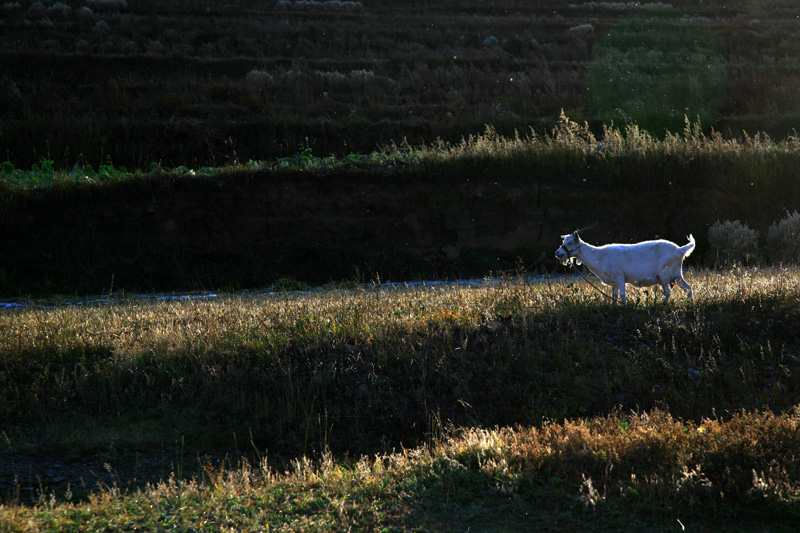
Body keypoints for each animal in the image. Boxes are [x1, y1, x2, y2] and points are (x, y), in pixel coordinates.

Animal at [556, 230, 692, 304]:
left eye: (570, 242)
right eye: (563, 242)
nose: (557, 253)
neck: (599, 256)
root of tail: (680, 250)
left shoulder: (619, 277)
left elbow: (622, 294)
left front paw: (625, 306)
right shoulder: (614, 282)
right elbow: (614, 296)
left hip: (665, 275)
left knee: (668, 292)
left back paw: (660, 304)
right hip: (677, 275)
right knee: (688, 287)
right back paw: (690, 303)